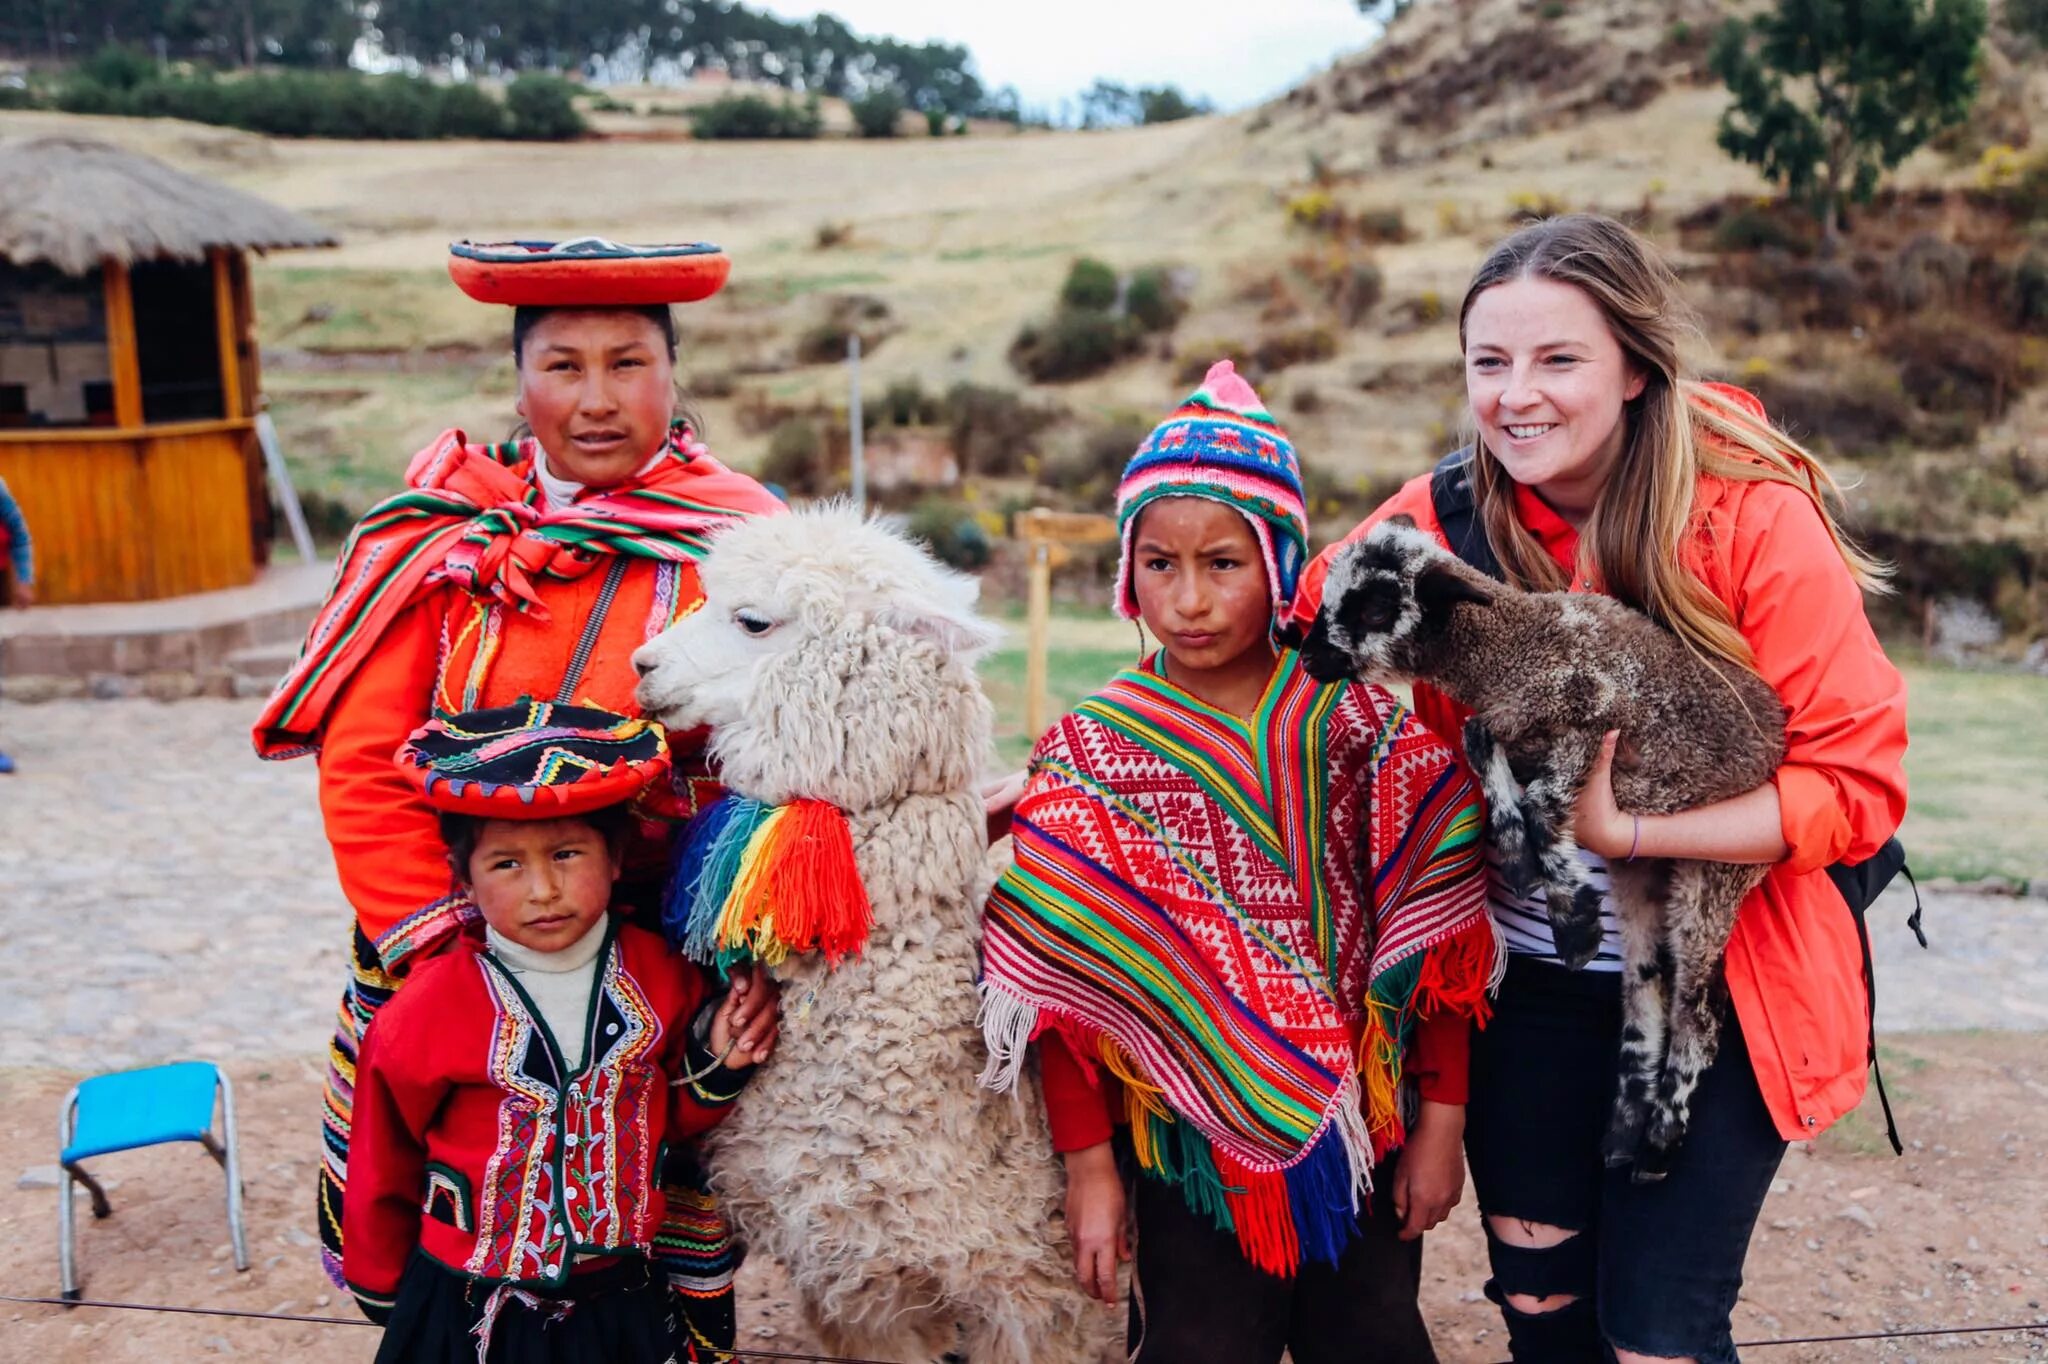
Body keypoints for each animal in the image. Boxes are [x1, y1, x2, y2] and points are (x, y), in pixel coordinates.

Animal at [1302, 516, 1785, 1171]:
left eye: (1375, 606)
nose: (1307, 655)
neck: (1517, 648)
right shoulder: (1519, 729)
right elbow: (1479, 742)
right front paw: (1519, 860)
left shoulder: (1591, 724)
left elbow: (1541, 803)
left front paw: (1572, 920)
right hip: (1642, 873)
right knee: (1646, 984)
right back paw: (1623, 1134)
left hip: (1716, 873)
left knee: (1700, 1008)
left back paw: (1660, 1141)